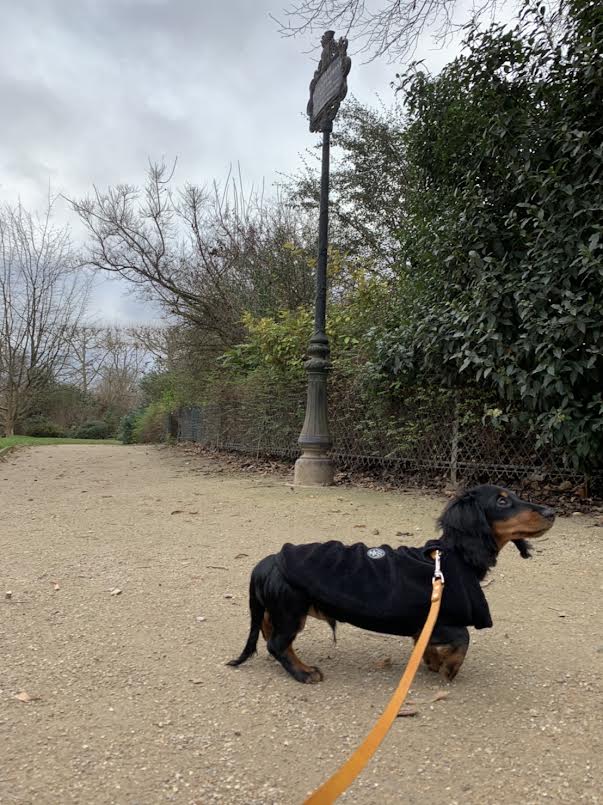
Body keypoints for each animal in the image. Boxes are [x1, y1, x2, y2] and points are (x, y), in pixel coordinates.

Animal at [228, 486, 556, 680]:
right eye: (502, 500)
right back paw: (304, 672)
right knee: (278, 644)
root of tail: (266, 563)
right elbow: (464, 639)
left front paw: (432, 661)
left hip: (281, 610)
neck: (454, 555)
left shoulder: (427, 622)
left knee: (268, 633)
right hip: (291, 611)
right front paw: (450, 668)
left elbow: (425, 642)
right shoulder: (445, 617)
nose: (552, 511)